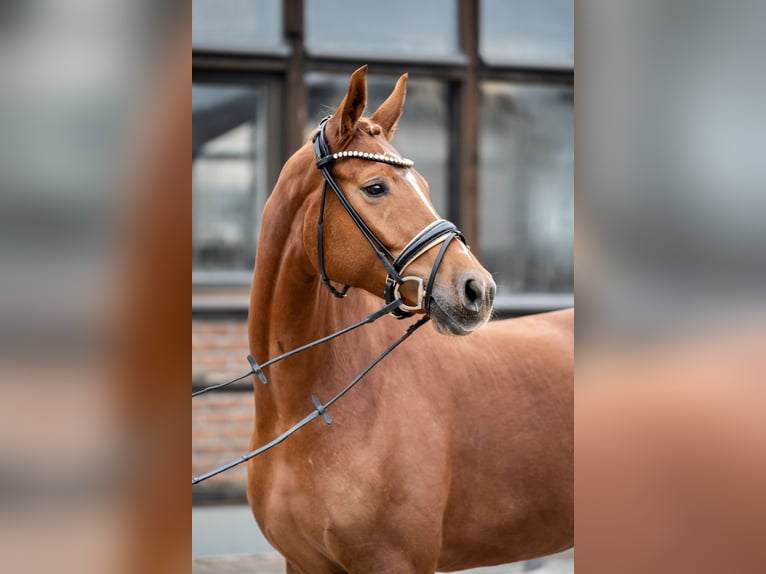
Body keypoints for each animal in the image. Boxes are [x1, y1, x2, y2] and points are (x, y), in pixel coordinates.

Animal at [249, 66, 572, 572]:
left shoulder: (393, 561)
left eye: (424, 186)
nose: (478, 290)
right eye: (375, 187)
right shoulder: (302, 563)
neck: (303, 410)